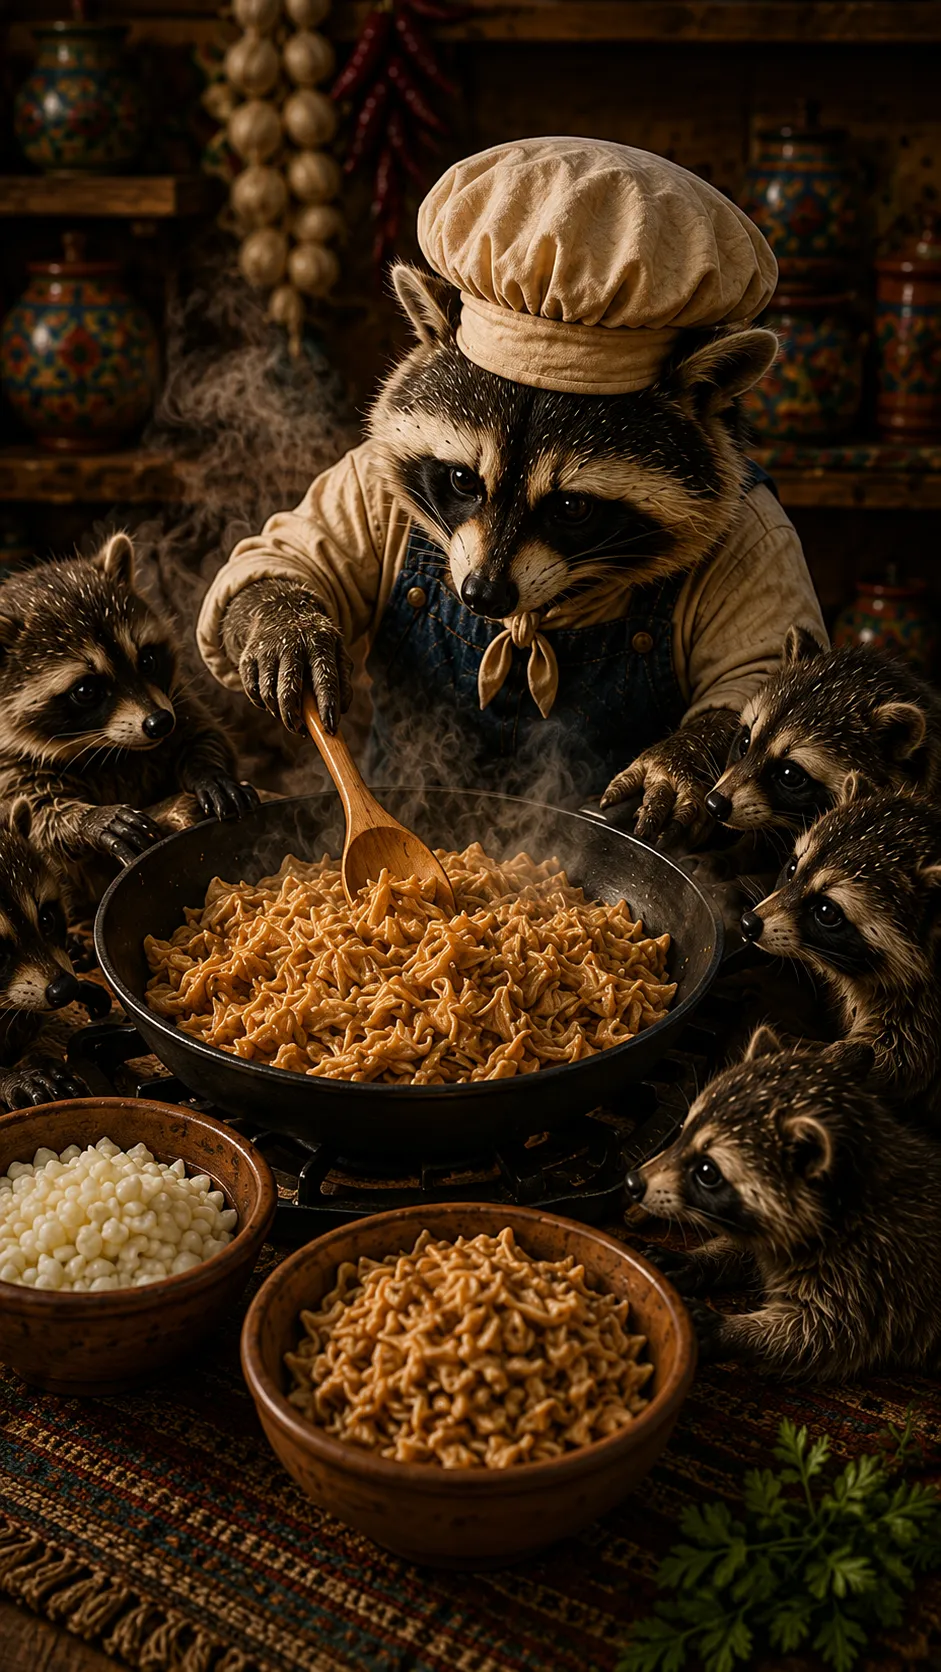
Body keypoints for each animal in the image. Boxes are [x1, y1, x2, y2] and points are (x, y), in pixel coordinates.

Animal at [0, 533, 257, 900]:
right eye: (86, 691)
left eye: (147, 660)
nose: (159, 723)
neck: (108, 748)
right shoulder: (9, 764)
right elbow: (34, 816)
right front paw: (87, 818)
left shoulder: (176, 697)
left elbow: (205, 734)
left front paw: (207, 769)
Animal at [625, 1027, 941, 1381]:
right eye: (682, 1130)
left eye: (707, 1172)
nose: (632, 1183)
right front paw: (701, 1259)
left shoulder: (873, 1273)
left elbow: (828, 1336)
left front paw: (730, 1331)